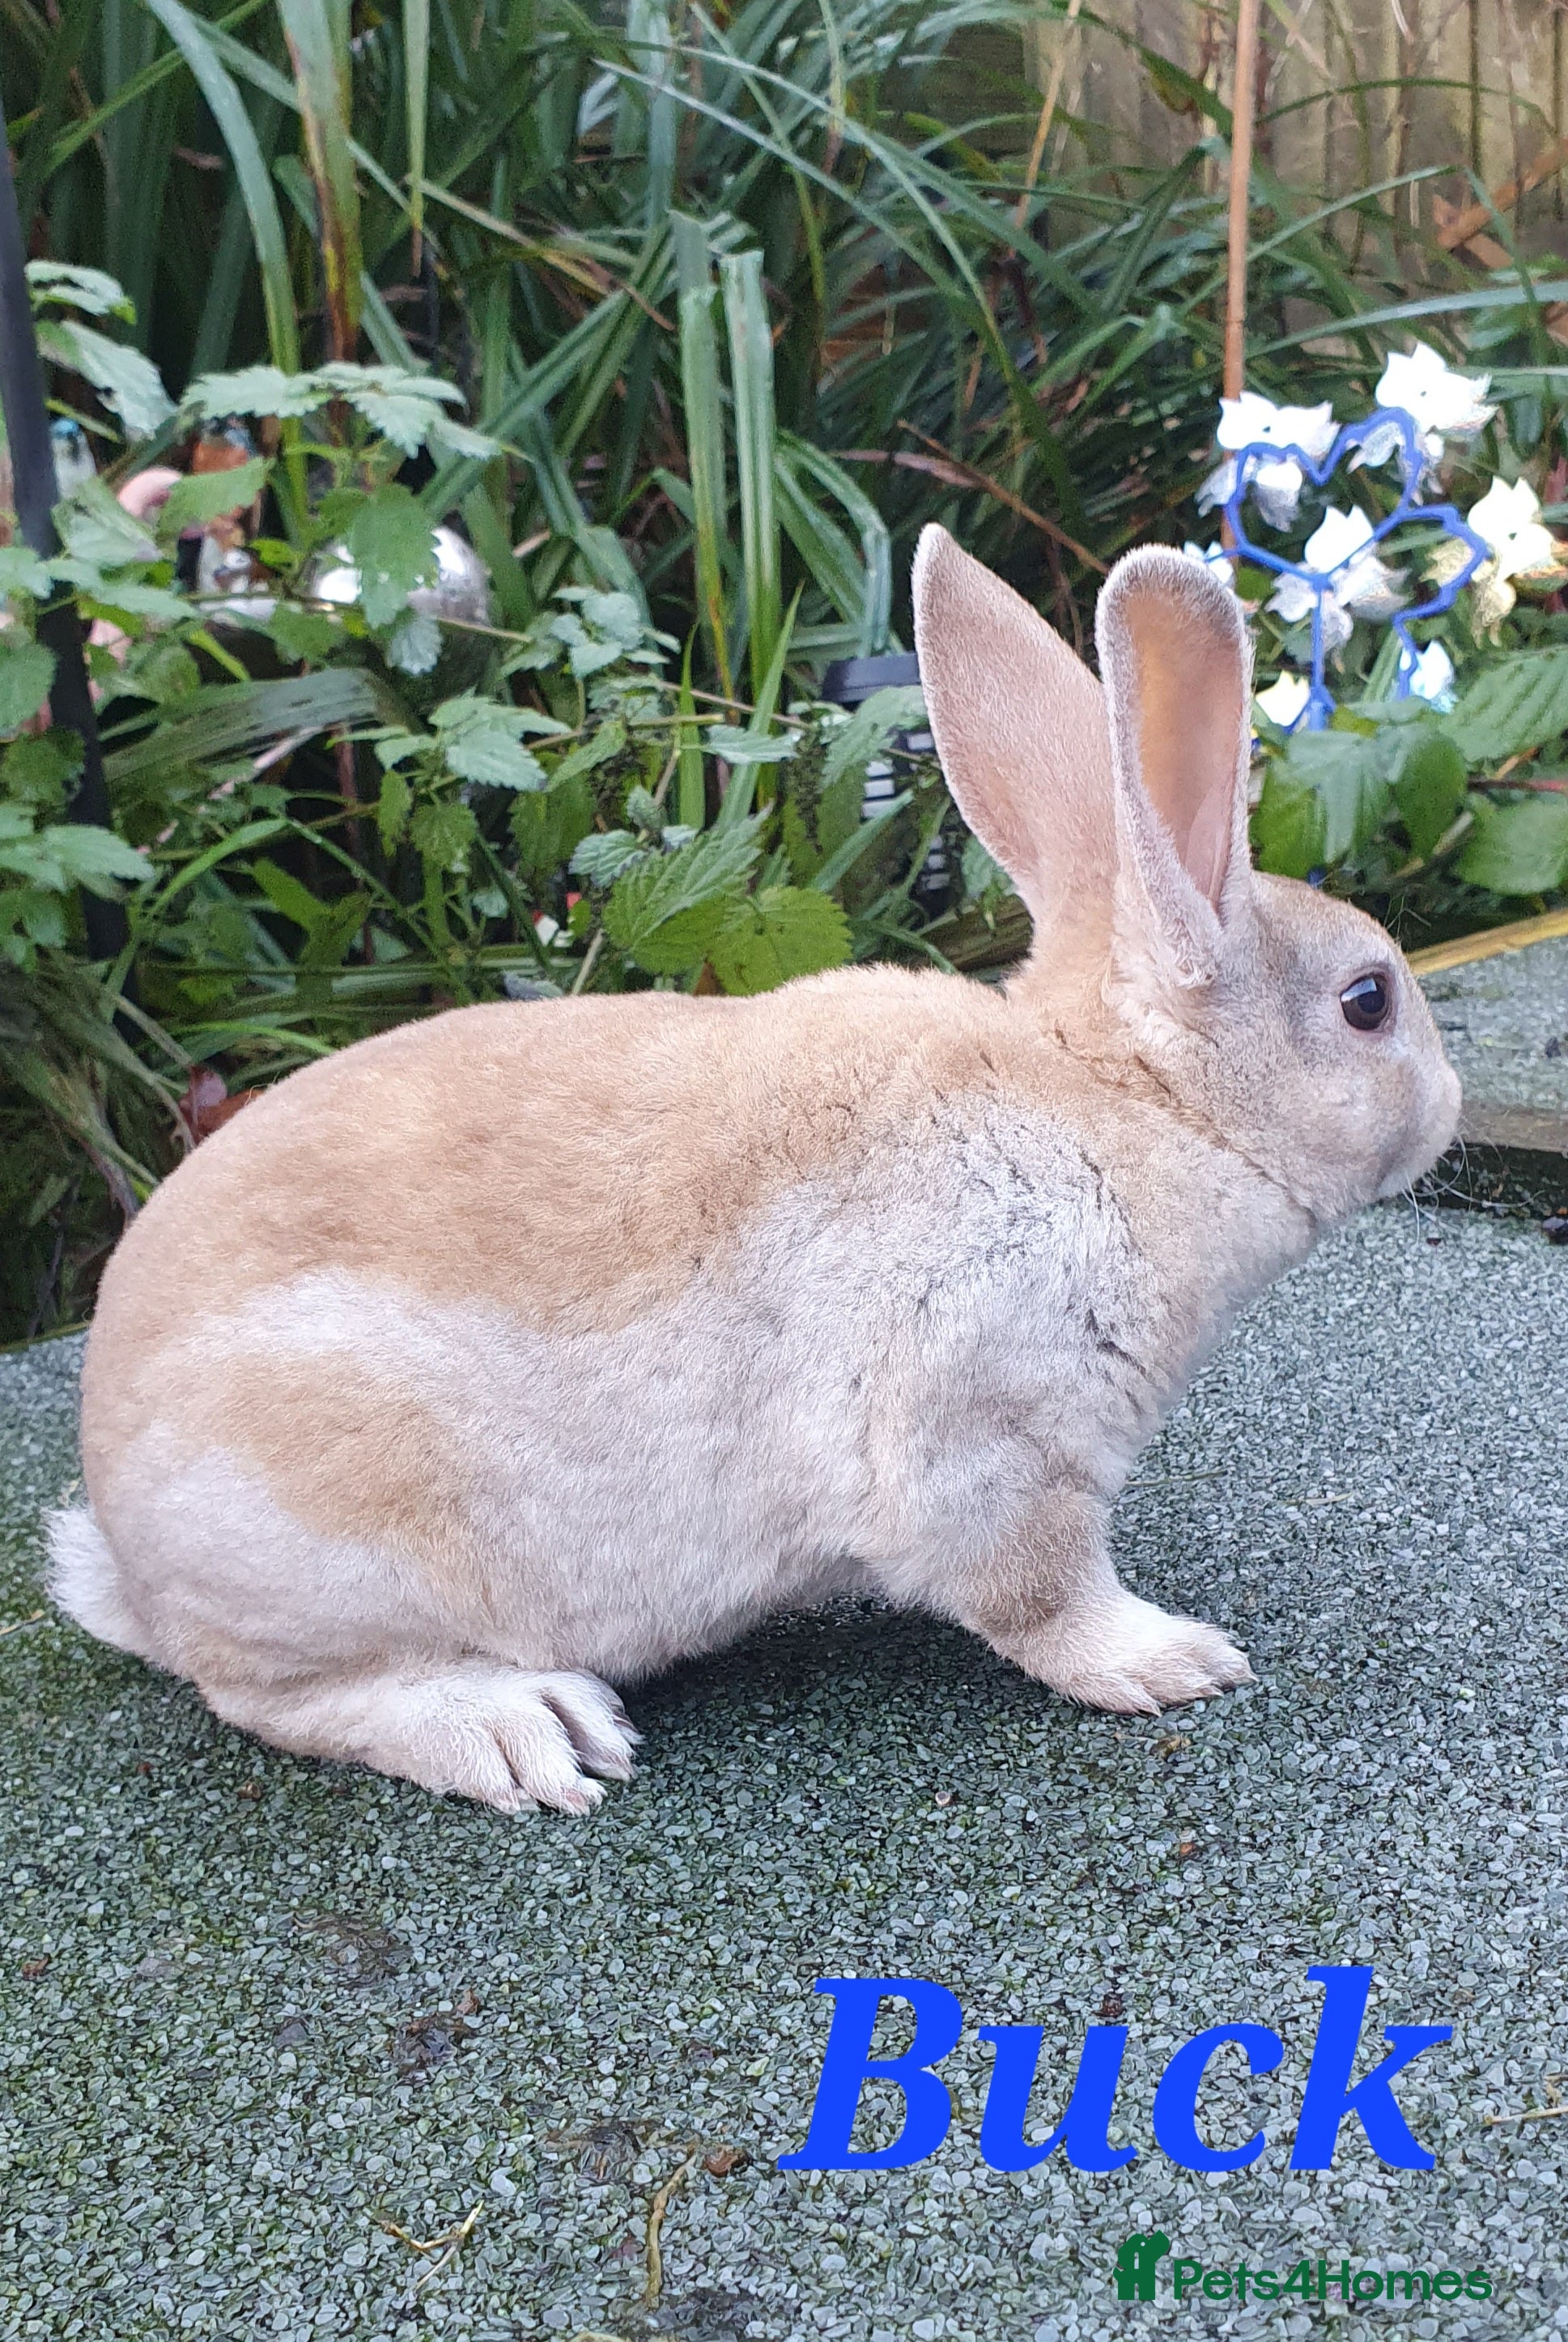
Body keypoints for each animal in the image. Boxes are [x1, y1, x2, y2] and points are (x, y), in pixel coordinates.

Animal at [47, 532, 1461, 1814]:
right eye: (1368, 1002)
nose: (1449, 1104)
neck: (1120, 1108)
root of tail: (124, 1550)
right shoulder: (992, 1446)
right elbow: (1046, 1598)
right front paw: (1175, 1661)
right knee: (270, 1695)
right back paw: (524, 1731)